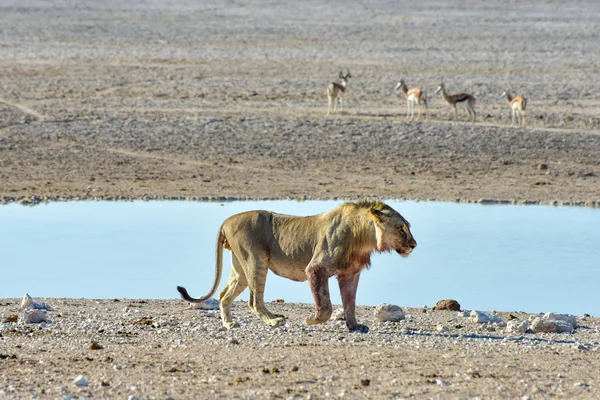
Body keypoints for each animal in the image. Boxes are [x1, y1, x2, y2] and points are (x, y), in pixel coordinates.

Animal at [176, 200, 414, 332]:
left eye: (407, 227)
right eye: (401, 228)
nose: (414, 244)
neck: (364, 236)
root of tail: (227, 220)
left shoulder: (350, 273)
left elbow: (350, 303)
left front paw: (354, 326)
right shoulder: (317, 268)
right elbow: (326, 305)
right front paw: (311, 320)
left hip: (240, 268)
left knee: (224, 295)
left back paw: (229, 324)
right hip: (256, 261)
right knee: (254, 301)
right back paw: (274, 321)